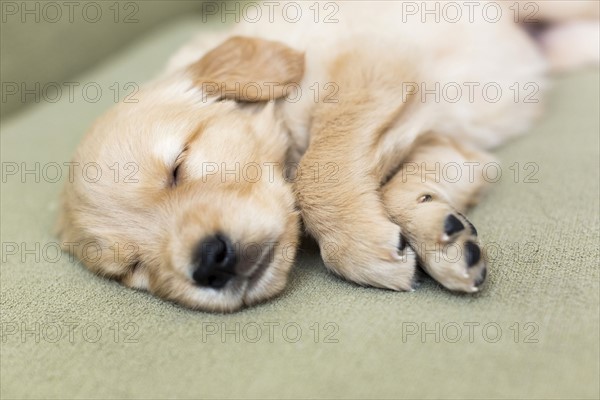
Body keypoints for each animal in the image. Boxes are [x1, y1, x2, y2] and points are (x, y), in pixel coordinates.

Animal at [55, 0, 596, 312]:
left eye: (179, 164)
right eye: (132, 270)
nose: (210, 263)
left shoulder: (374, 66)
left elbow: (320, 168)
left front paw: (359, 247)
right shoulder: (447, 142)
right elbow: (410, 185)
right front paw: (441, 233)